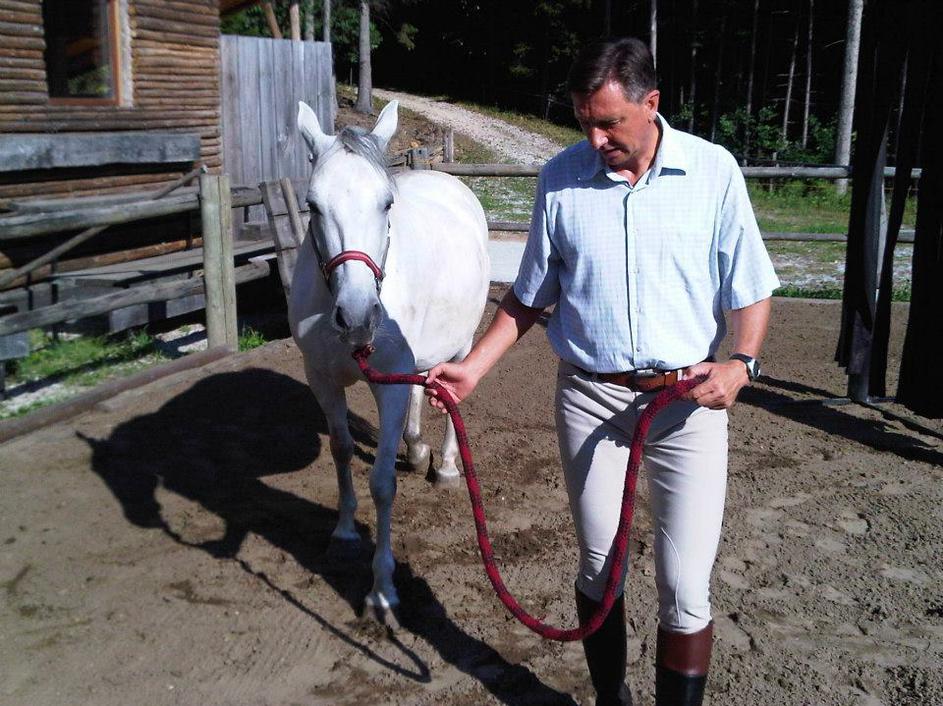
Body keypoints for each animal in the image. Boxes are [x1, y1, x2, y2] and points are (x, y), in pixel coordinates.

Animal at [291, 100, 490, 615]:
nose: (358, 316)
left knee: (449, 395)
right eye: (312, 205)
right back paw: (416, 448)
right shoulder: (321, 378)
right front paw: (343, 532)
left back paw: (445, 467)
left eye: (386, 203)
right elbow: (341, 450)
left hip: (462, 344)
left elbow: (382, 483)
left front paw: (382, 588)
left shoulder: (388, 385)